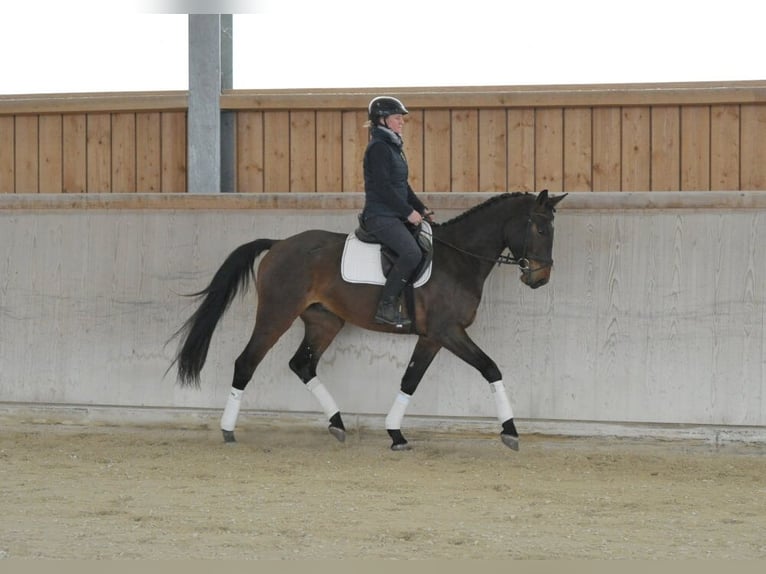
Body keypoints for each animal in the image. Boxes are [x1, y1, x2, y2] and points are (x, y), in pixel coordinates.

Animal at [169, 190, 566, 451]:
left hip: (325, 322)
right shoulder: (448, 331)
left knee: (302, 364)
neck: (459, 259)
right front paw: (510, 431)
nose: (541, 278)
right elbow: (490, 368)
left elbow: (410, 381)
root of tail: (279, 243)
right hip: (276, 313)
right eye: (540, 229)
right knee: (246, 362)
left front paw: (395, 433)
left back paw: (337, 423)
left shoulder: (432, 337)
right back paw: (228, 430)